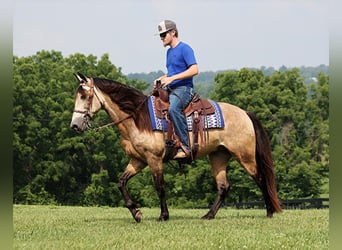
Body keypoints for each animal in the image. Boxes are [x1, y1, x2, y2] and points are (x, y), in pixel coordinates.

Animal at [70, 72, 284, 223]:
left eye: (84, 96)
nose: (75, 126)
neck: (137, 118)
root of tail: (245, 113)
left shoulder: (154, 159)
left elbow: (160, 187)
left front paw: (163, 216)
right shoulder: (138, 160)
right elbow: (121, 182)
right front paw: (136, 213)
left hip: (245, 156)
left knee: (260, 178)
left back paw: (269, 212)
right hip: (218, 156)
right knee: (224, 186)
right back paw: (208, 215)